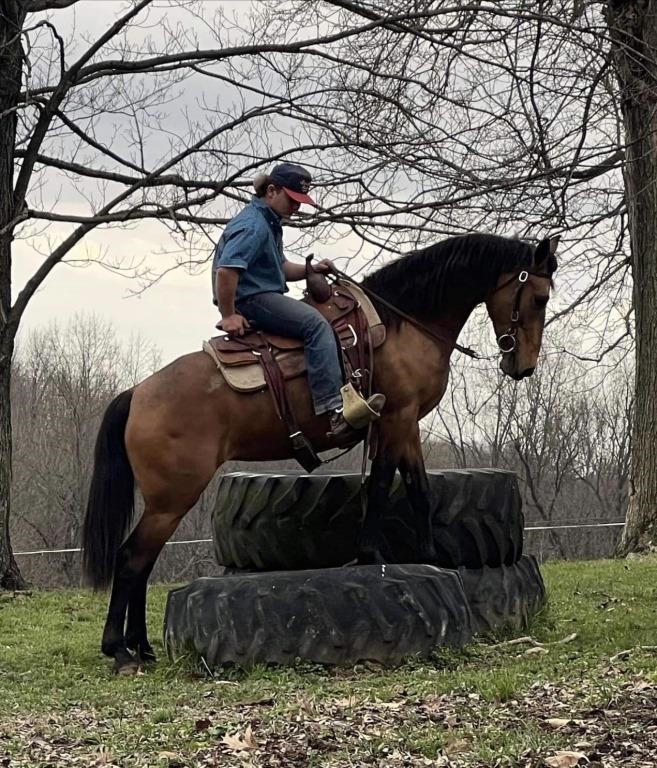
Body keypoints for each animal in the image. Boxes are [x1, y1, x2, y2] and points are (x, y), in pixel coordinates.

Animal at [79, 232, 556, 672]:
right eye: (540, 296)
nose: (524, 367)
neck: (403, 323)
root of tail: (138, 393)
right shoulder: (398, 418)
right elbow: (388, 486)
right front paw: (382, 555)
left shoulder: (402, 425)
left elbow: (412, 487)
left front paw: (421, 555)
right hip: (173, 497)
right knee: (132, 559)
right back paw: (120, 650)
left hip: (166, 501)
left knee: (141, 563)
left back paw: (142, 647)